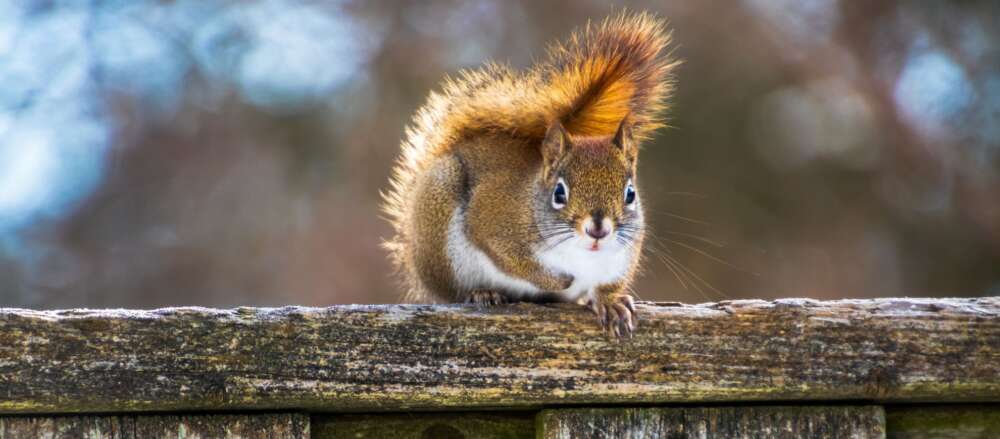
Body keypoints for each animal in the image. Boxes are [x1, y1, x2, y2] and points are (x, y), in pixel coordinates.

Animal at [382, 12, 677, 337]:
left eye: (630, 194)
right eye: (559, 193)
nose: (598, 230)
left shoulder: (621, 259)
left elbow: (608, 286)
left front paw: (611, 302)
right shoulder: (493, 221)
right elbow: (508, 256)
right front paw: (557, 281)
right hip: (441, 217)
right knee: (453, 291)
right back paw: (483, 292)